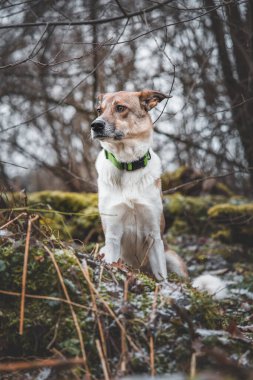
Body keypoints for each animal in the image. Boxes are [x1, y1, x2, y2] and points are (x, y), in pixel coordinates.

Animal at [91, 87, 188, 280]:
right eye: (99, 110)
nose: (95, 125)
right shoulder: (112, 236)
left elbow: (162, 277)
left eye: (120, 108)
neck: (127, 164)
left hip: (173, 259)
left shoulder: (154, 236)